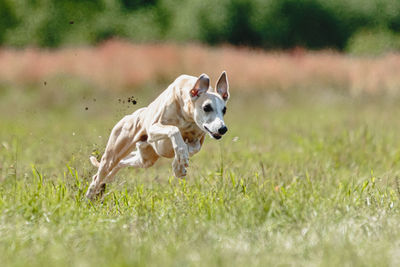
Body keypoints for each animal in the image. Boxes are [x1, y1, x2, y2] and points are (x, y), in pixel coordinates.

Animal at [86, 71, 230, 201]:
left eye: (224, 110)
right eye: (206, 107)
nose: (223, 129)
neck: (186, 115)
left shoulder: (197, 141)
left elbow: (190, 148)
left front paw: (178, 166)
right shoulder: (153, 129)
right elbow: (174, 129)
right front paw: (180, 156)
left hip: (146, 159)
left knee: (122, 163)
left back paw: (106, 182)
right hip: (113, 155)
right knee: (99, 174)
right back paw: (90, 195)